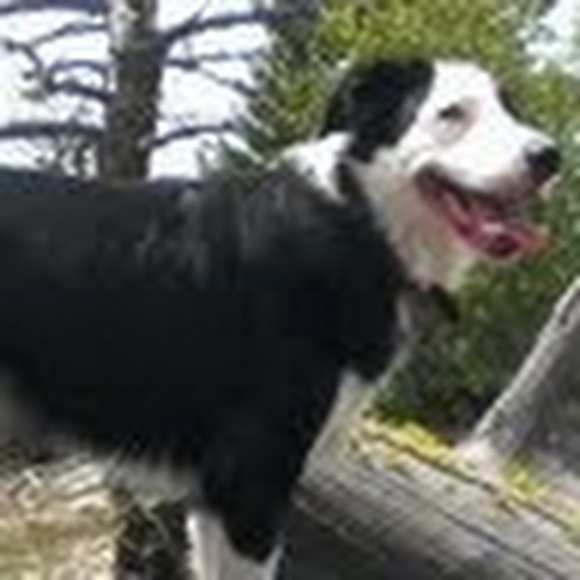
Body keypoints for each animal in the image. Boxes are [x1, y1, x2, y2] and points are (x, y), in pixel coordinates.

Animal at [0, 58, 560, 579]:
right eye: (452, 113)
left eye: (511, 110)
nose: (551, 157)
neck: (359, 223)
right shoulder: (252, 478)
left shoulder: (216, 496)